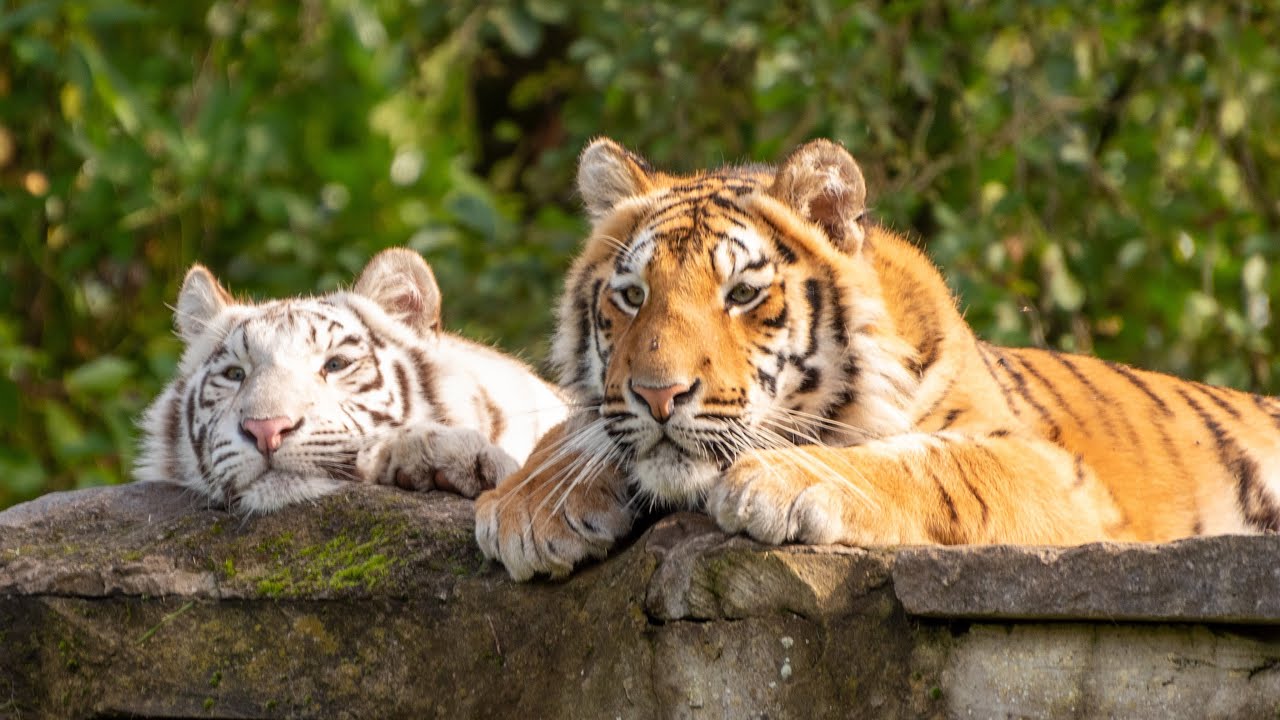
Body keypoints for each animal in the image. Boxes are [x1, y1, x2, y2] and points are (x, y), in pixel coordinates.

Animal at [475, 137, 1280, 581]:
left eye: (742, 293)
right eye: (633, 295)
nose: (658, 395)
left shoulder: (1061, 476)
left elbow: (934, 463)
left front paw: (781, 479)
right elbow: (571, 427)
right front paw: (527, 506)